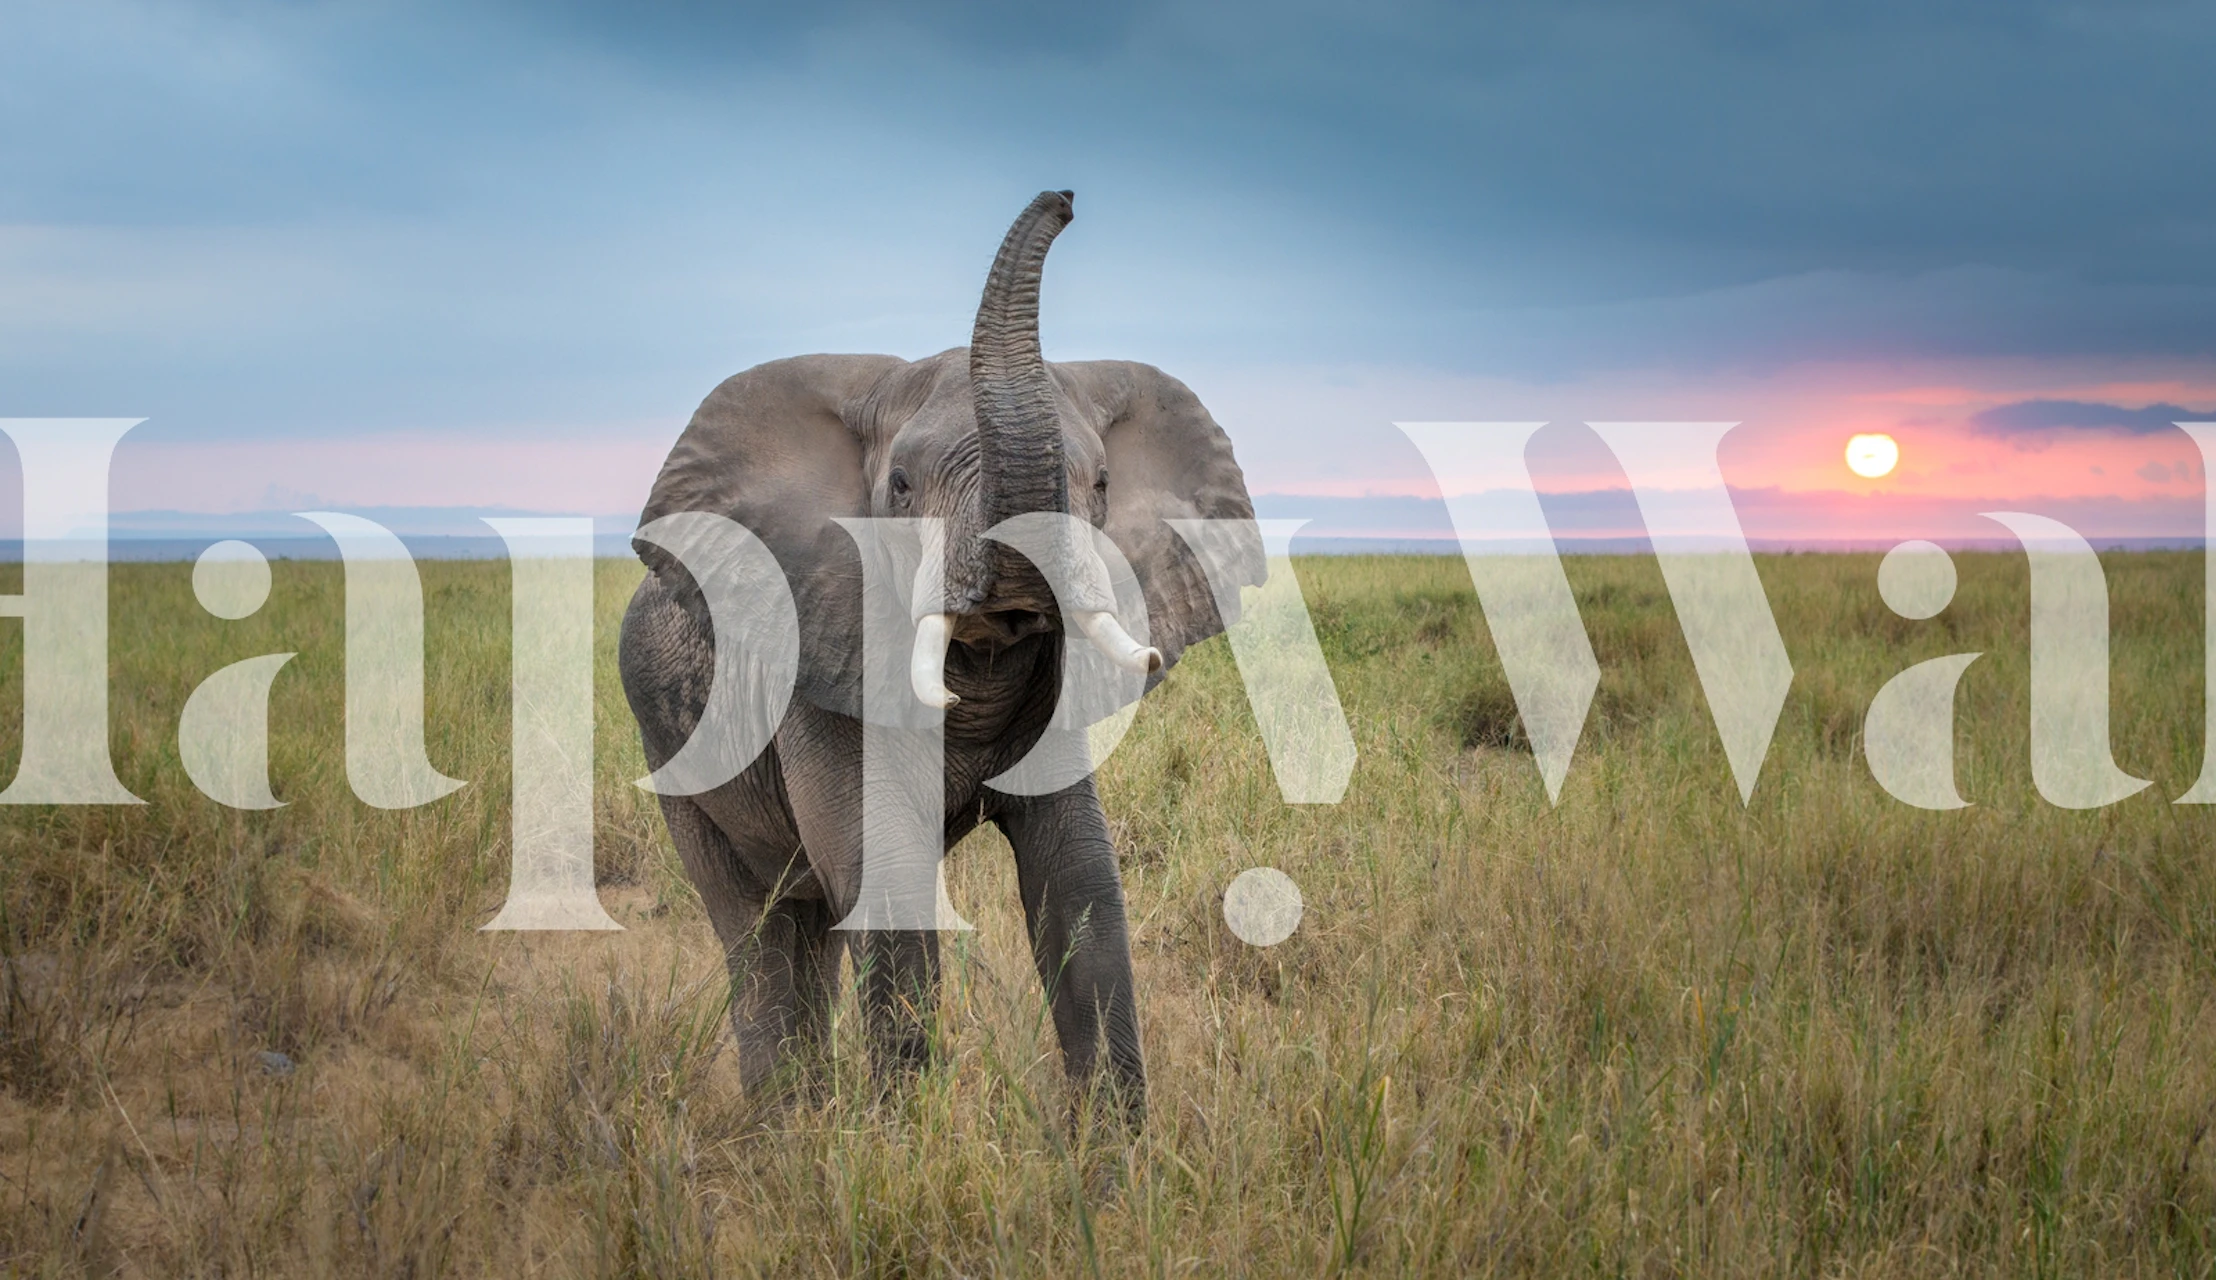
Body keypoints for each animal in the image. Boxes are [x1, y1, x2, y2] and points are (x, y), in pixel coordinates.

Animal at [618, 190, 1262, 1122]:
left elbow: (1080, 876)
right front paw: (901, 1140)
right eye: (900, 488)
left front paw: (1116, 1150)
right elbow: (884, 879)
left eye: (1101, 486)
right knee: (758, 927)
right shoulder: (821, 657)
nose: (1064, 201)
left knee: (808, 922)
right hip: (675, 756)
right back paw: (785, 1131)